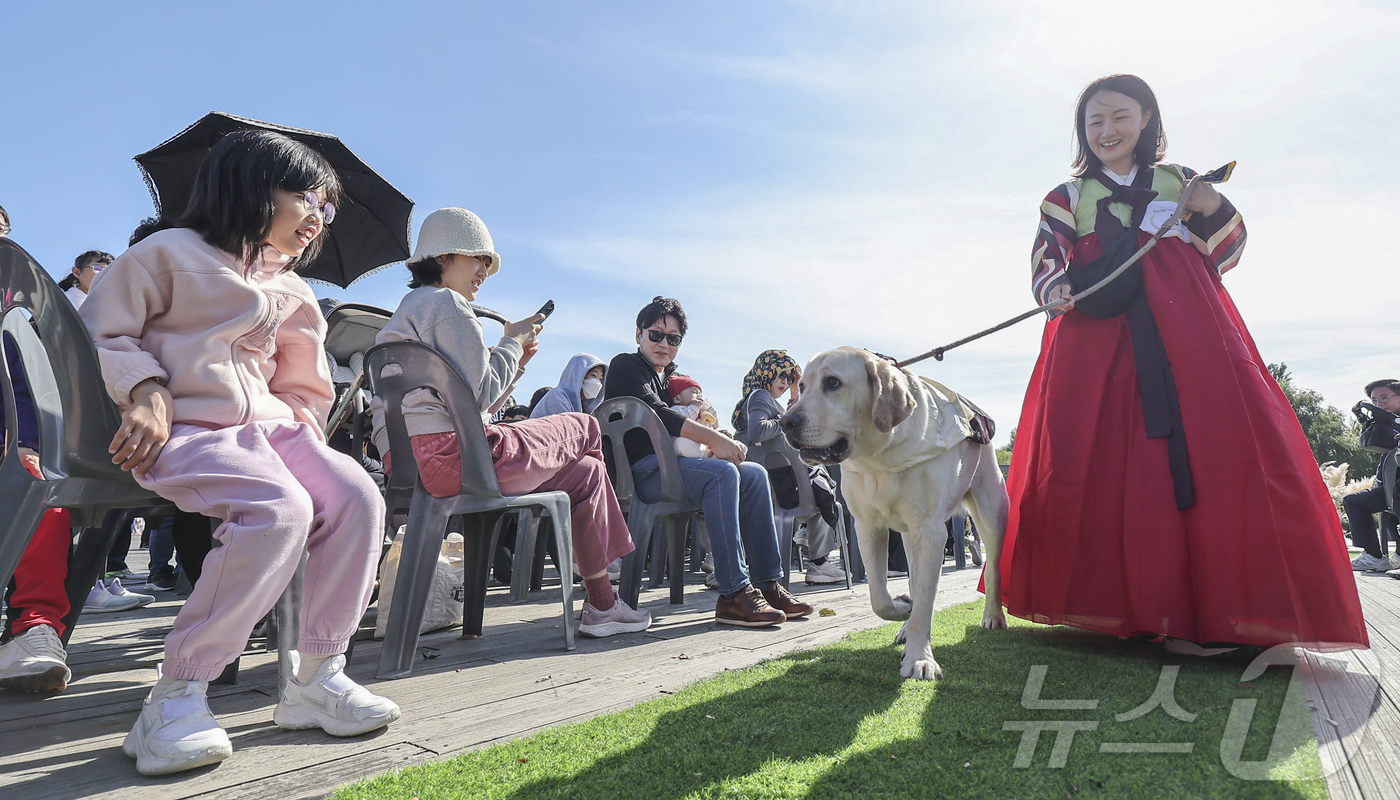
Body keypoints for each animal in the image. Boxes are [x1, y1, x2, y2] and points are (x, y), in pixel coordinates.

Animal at [778, 347, 1008, 678]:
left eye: (833, 382)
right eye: (803, 387)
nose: (785, 421)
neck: (879, 459)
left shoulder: (930, 531)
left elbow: (925, 599)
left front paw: (920, 658)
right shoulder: (866, 527)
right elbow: (880, 598)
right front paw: (902, 609)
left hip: (991, 512)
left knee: (993, 569)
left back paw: (993, 615)